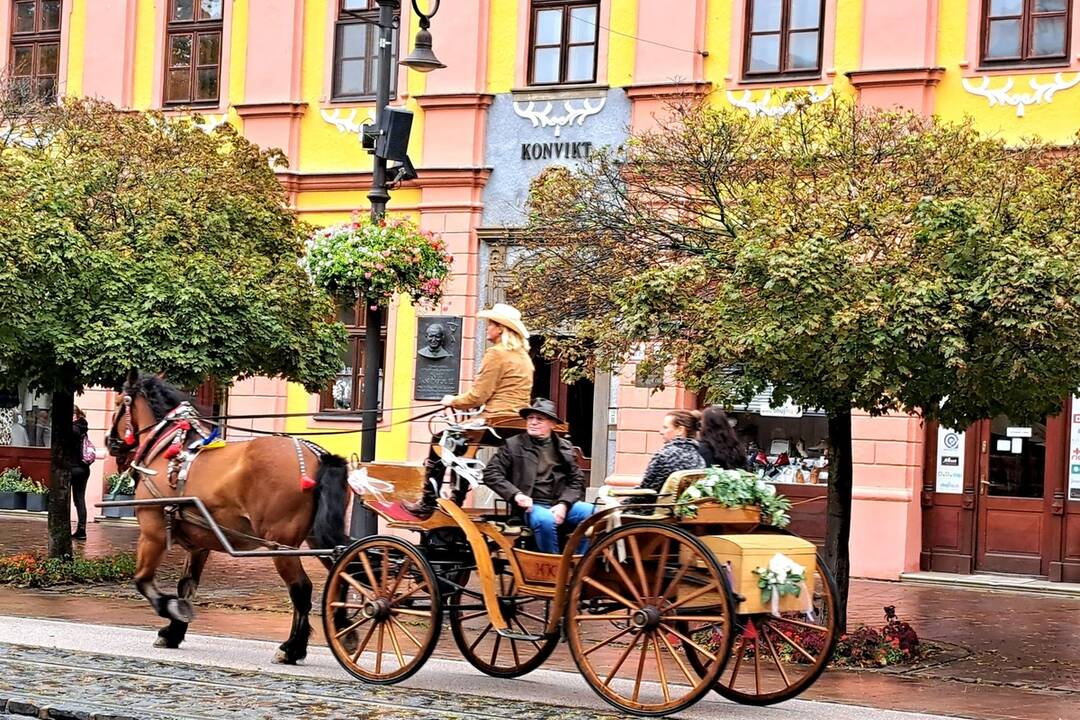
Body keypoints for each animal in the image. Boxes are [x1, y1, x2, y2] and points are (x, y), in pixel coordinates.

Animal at [108, 377, 349, 664]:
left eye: (119, 402)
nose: (110, 441)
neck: (169, 449)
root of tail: (316, 455)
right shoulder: (199, 544)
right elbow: (186, 585)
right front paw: (174, 632)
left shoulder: (152, 533)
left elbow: (143, 580)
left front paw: (172, 610)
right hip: (316, 539)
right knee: (346, 571)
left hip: (281, 545)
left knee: (301, 589)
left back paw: (292, 648)